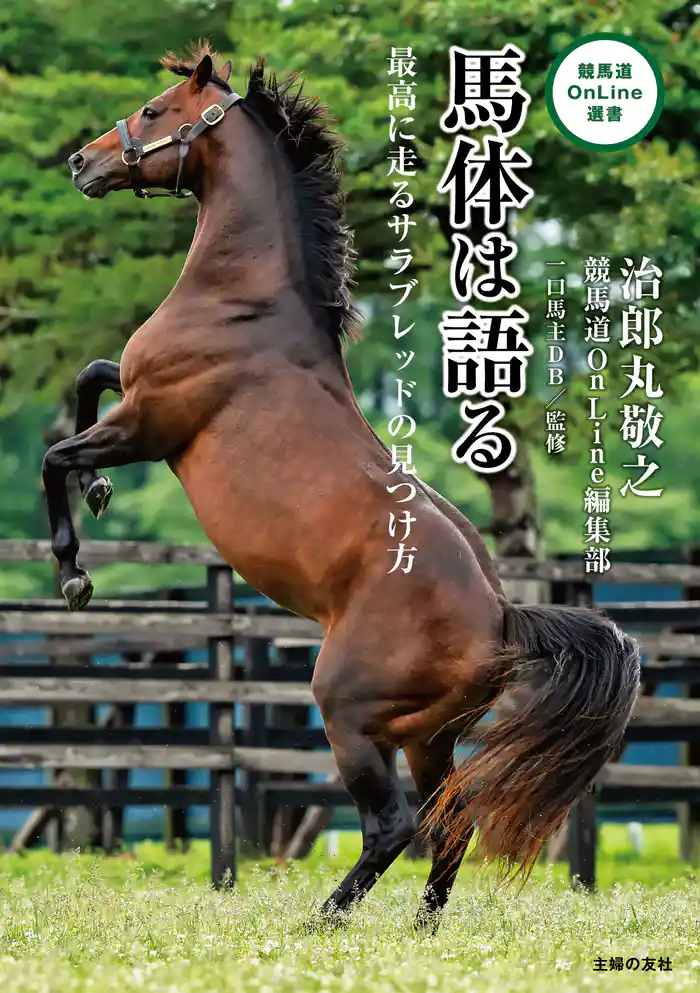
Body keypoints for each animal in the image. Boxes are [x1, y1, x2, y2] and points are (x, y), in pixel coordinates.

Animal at [43, 43, 641, 931]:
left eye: (154, 111)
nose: (83, 161)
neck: (245, 303)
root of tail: (504, 619)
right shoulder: (134, 396)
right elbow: (88, 376)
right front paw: (98, 494)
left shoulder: (152, 423)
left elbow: (58, 453)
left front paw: (75, 567)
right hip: (429, 734)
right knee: (449, 820)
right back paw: (421, 930)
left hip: (351, 712)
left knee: (394, 822)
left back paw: (324, 920)